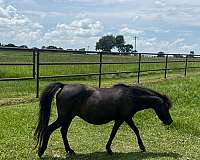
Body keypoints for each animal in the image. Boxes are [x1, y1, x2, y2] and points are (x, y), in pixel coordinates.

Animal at [33, 82, 173, 158]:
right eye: (166, 107)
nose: (170, 121)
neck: (131, 96)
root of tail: (64, 86)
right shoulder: (124, 118)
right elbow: (127, 131)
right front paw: (141, 147)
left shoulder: (123, 119)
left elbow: (125, 131)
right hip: (64, 117)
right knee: (49, 129)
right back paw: (41, 151)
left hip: (68, 117)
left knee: (63, 131)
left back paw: (70, 150)